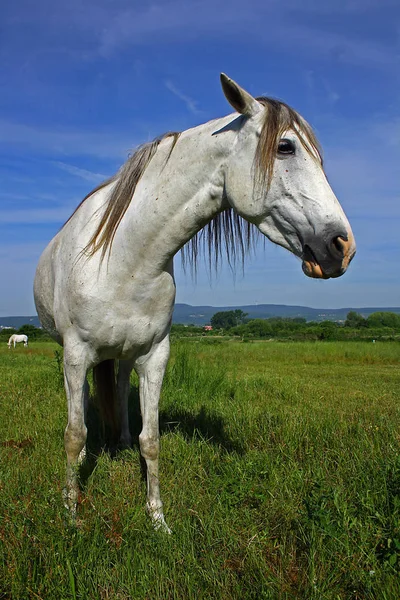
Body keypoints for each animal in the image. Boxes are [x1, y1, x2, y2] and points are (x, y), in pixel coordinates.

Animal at [32, 74, 354, 528]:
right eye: (285, 147)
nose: (342, 246)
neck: (124, 259)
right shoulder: (76, 355)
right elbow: (74, 435)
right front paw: (70, 514)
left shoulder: (155, 355)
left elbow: (152, 440)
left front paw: (157, 520)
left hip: (127, 354)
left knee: (121, 387)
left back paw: (121, 440)